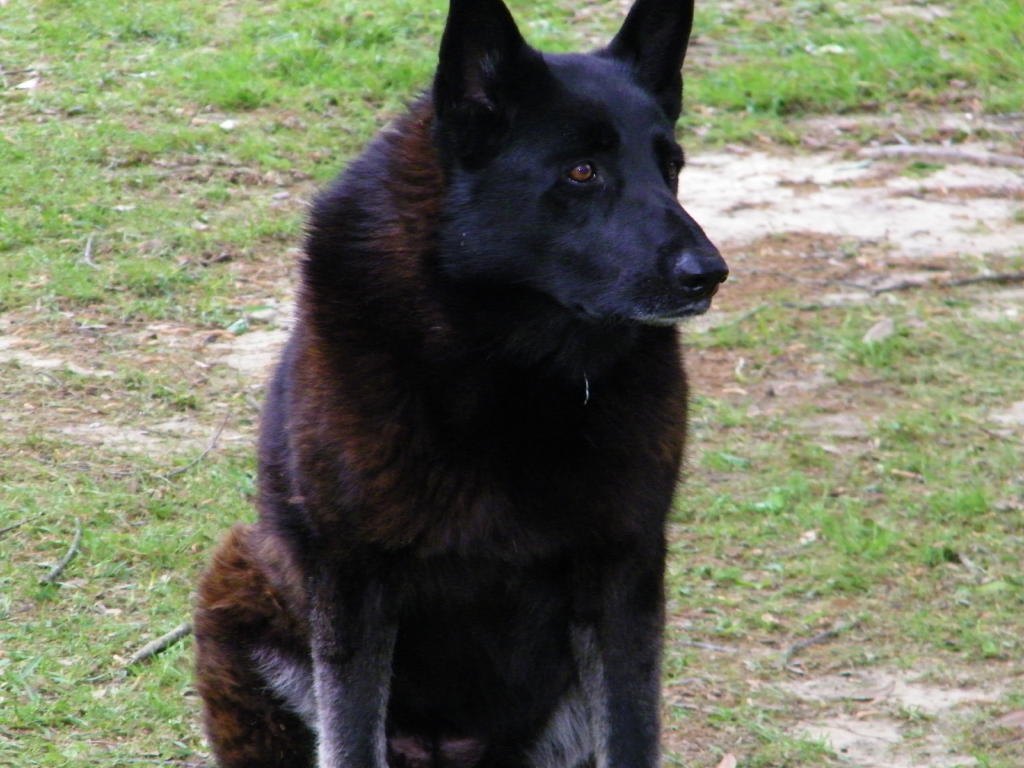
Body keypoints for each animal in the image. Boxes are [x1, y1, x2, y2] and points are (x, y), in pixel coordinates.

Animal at [193, 0, 727, 766]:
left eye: (672, 167)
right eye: (582, 171)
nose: (709, 274)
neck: (510, 369)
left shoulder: (623, 575)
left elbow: (632, 735)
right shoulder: (355, 584)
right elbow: (351, 739)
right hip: (238, 590)